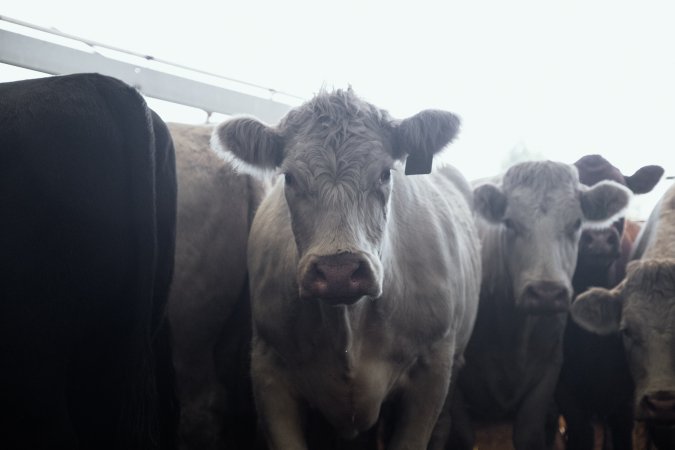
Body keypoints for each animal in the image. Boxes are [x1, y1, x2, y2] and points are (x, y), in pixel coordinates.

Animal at [448, 161, 632, 450]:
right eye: (509, 222)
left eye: (577, 223)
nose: (547, 293)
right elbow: (462, 437)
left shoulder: (548, 374)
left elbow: (530, 434)